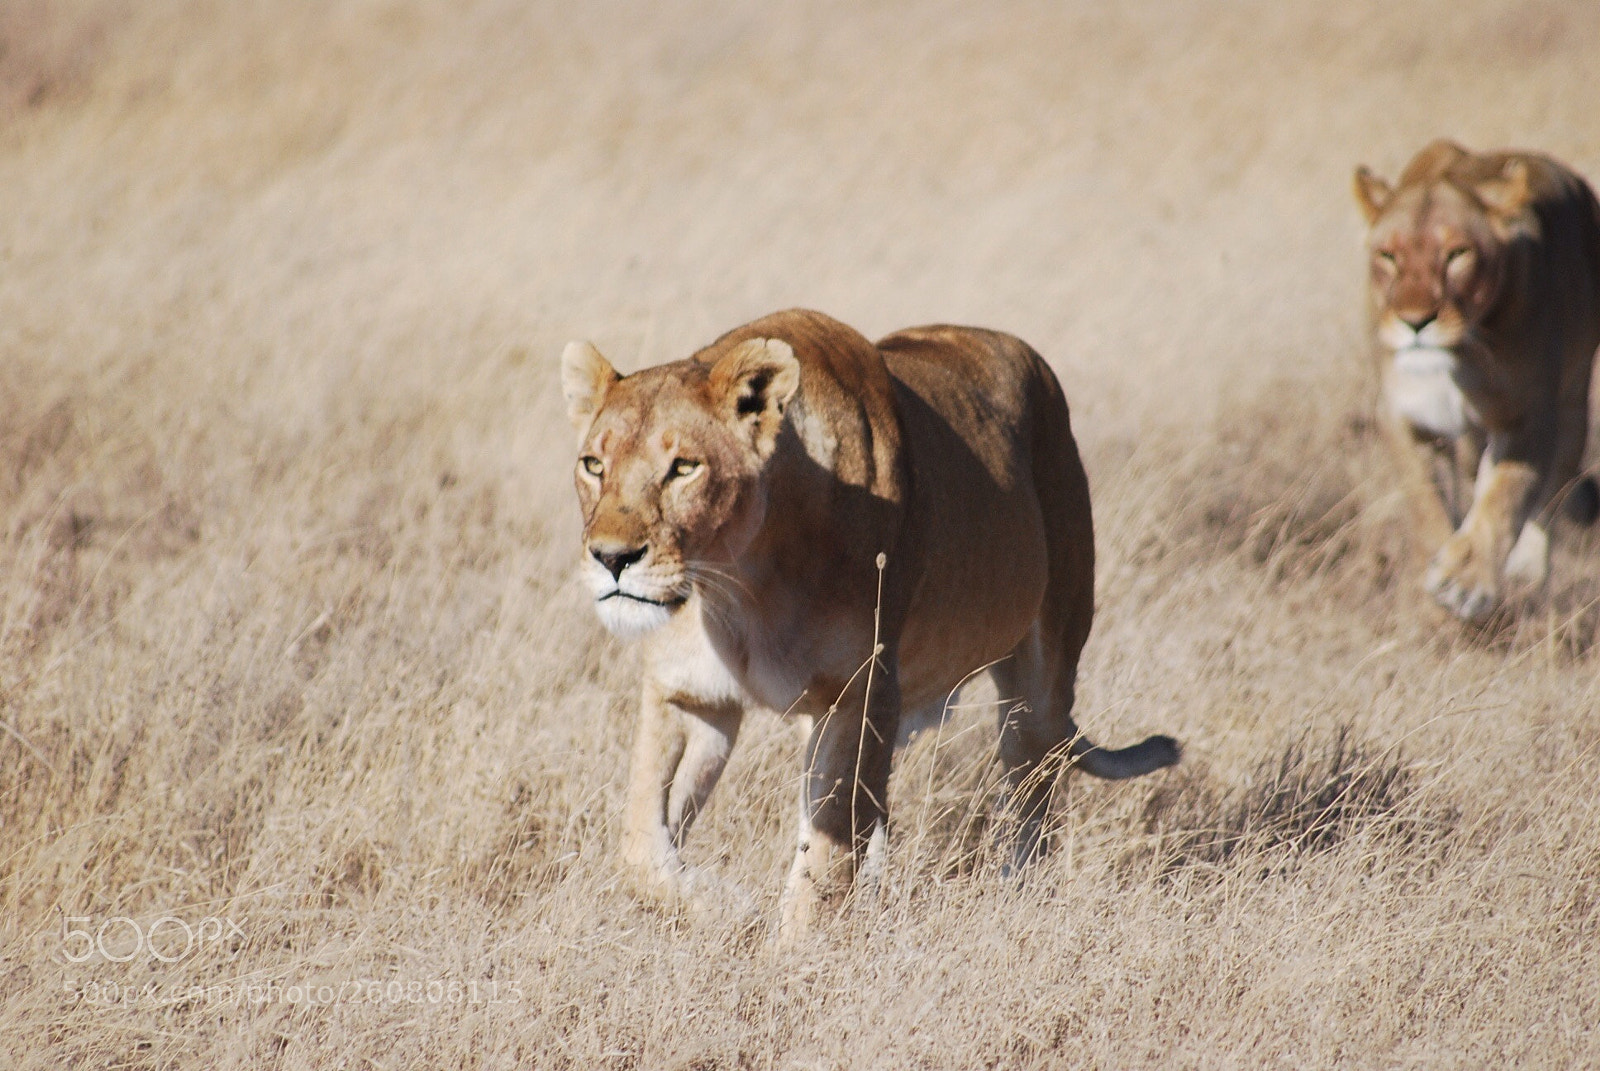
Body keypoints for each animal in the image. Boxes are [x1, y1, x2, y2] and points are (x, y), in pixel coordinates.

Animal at [560, 308, 1179, 940]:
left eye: (684, 468)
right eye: (594, 465)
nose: (611, 558)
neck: (740, 585)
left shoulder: (859, 691)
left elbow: (826, 861)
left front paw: (792, 955)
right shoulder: (689, 694)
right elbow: (641, 847)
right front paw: (729, 904)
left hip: (1040, 685)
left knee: (1035, 798)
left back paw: (1015, 901)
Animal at [1353, 140, 1600, 622]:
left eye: (1457, 254)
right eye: (1388, 256)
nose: (1415, 322)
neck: (1459, 358)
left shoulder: (1528, 417)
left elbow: (1505, 495)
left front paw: (1467, 582)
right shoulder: (1405, 416)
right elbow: (1426, 500)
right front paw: (1436, 589)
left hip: (1573, 403)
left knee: (1550, 490)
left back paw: (1525, 571)